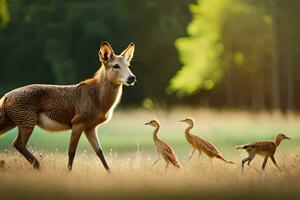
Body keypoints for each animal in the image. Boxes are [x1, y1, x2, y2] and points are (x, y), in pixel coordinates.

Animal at [0, 41, 136, 172]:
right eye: (115, 66)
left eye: (129, 66)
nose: (132, 78)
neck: (99, 100)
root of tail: (5, 98)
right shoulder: (78, 122)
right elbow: (71, 152)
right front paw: (68, 173)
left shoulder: (90, 127)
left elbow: (99, 152)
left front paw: (110, 173)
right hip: (27, 121)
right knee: (18, 143)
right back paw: (37, 164)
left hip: (13, 121)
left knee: (16, 142)